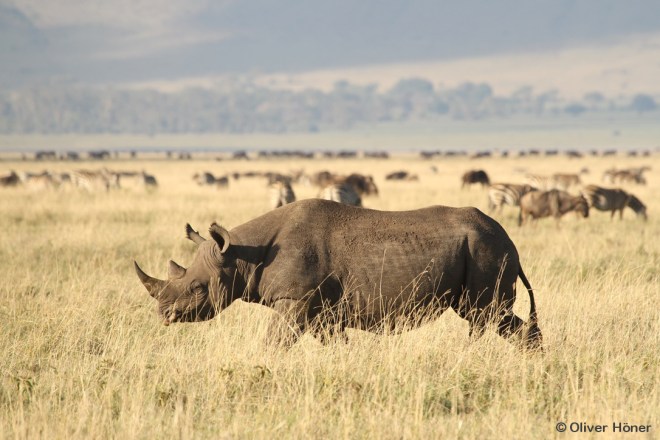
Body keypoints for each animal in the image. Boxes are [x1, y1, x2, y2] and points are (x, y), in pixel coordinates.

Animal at [134, 199, 542, 349]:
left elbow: (274, 342)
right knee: (494, 316)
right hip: (486, 247)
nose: (163, 315)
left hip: (486, 249)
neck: (240, 253)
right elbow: (336, 343)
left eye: (197, 288)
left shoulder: (294, 299)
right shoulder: (317, 308)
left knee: (483, 313)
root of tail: (510, 239)